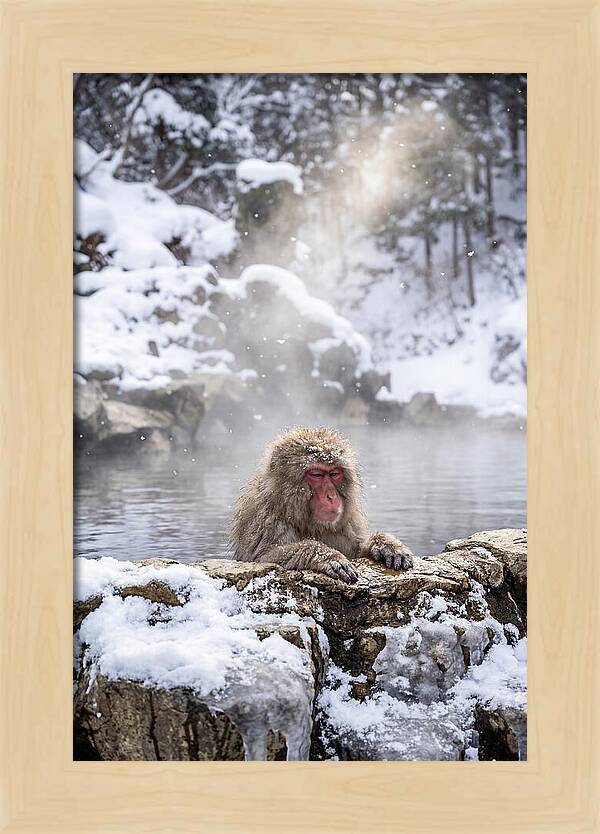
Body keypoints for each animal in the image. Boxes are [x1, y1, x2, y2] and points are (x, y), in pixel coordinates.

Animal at [231, 426, 414, 583]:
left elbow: (356, 550)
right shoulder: (265, 519)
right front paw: (326, 556)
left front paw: (385, 544)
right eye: (316, 474)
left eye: (334, 473)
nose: (331, 496)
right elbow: (263, 558)